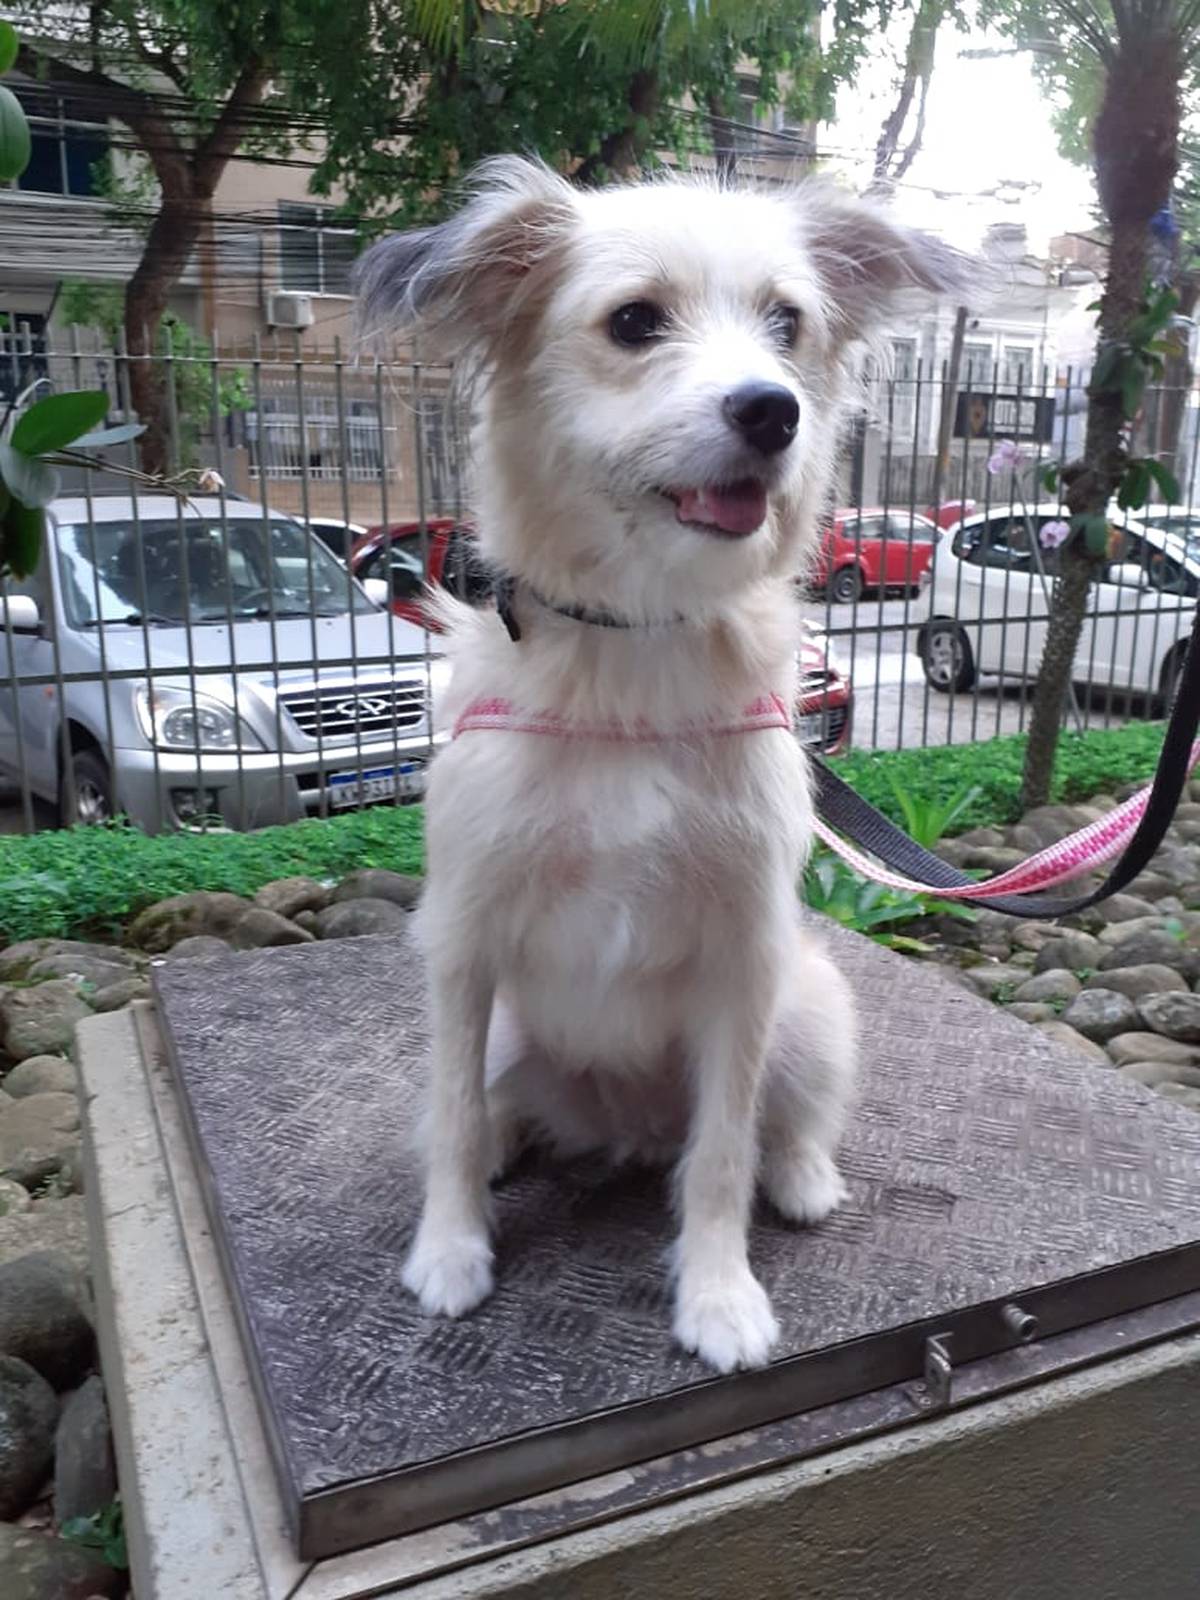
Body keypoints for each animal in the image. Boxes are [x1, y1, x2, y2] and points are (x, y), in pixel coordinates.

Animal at [357, 158, 964, 1373]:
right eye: (635, 322)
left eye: (787, 324)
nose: (773, 411)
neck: (635, 647)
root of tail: (623, 1124)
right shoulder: (463, 941)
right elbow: (450, 1115)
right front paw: (450, 1253)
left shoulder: (744, 960)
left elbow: (722, 1153)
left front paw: (720, 1297)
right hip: (508, 1028)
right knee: (485, 1106)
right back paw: (510, 1144)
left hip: (809, 1001)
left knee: (777, 1122)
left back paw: (803, 1177)